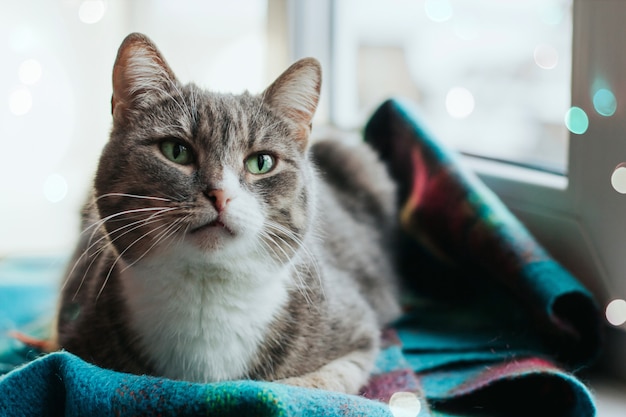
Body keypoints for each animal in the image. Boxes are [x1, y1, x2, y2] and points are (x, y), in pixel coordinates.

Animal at [52, 32, 400, 394]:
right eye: (176, 151)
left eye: (261, 162)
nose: (220, 195)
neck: (206, 296)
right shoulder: (73, 331)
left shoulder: (359, 330)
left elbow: (319, 382)